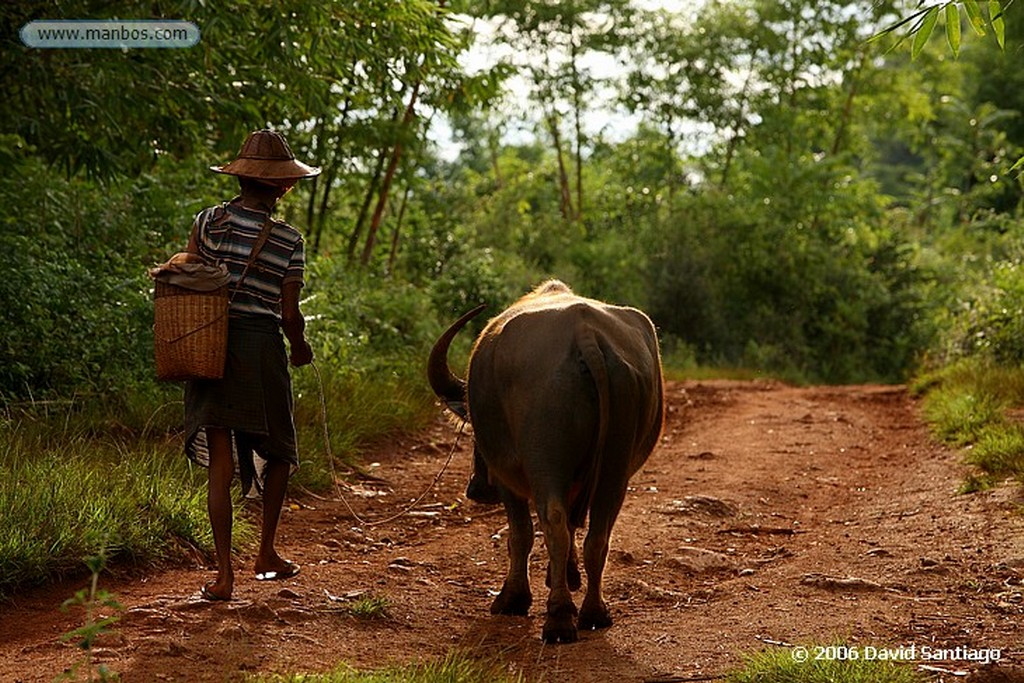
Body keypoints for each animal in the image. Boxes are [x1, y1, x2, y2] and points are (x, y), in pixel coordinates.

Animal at [425, 280, 659, 643]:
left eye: (474, 432)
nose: (477, 490)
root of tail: (585, 333)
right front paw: (565, 575)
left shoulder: (508, 480)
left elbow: (520, 534)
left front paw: (513, 598)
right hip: (616, 466)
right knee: (598, 533)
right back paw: (594, 612)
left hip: (544, 462)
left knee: (553, 522)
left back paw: (559, 618)